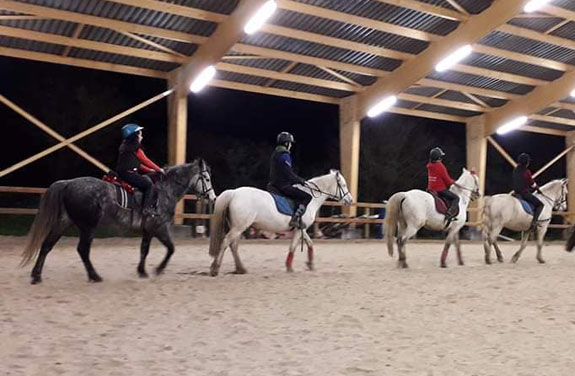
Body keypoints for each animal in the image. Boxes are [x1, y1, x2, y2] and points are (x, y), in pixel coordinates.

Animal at [207, 170, 352, 276]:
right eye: (343, 185)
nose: (350, 200)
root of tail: (234, 192)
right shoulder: (300, 229)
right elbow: (293, 247)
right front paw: (289, 267)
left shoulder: (301, 228)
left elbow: (310, 243)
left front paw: (310, 264)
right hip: (239, 227)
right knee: (226, 242)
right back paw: (215, 268)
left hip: (238, 227)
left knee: (233, 245)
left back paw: (240, 269)